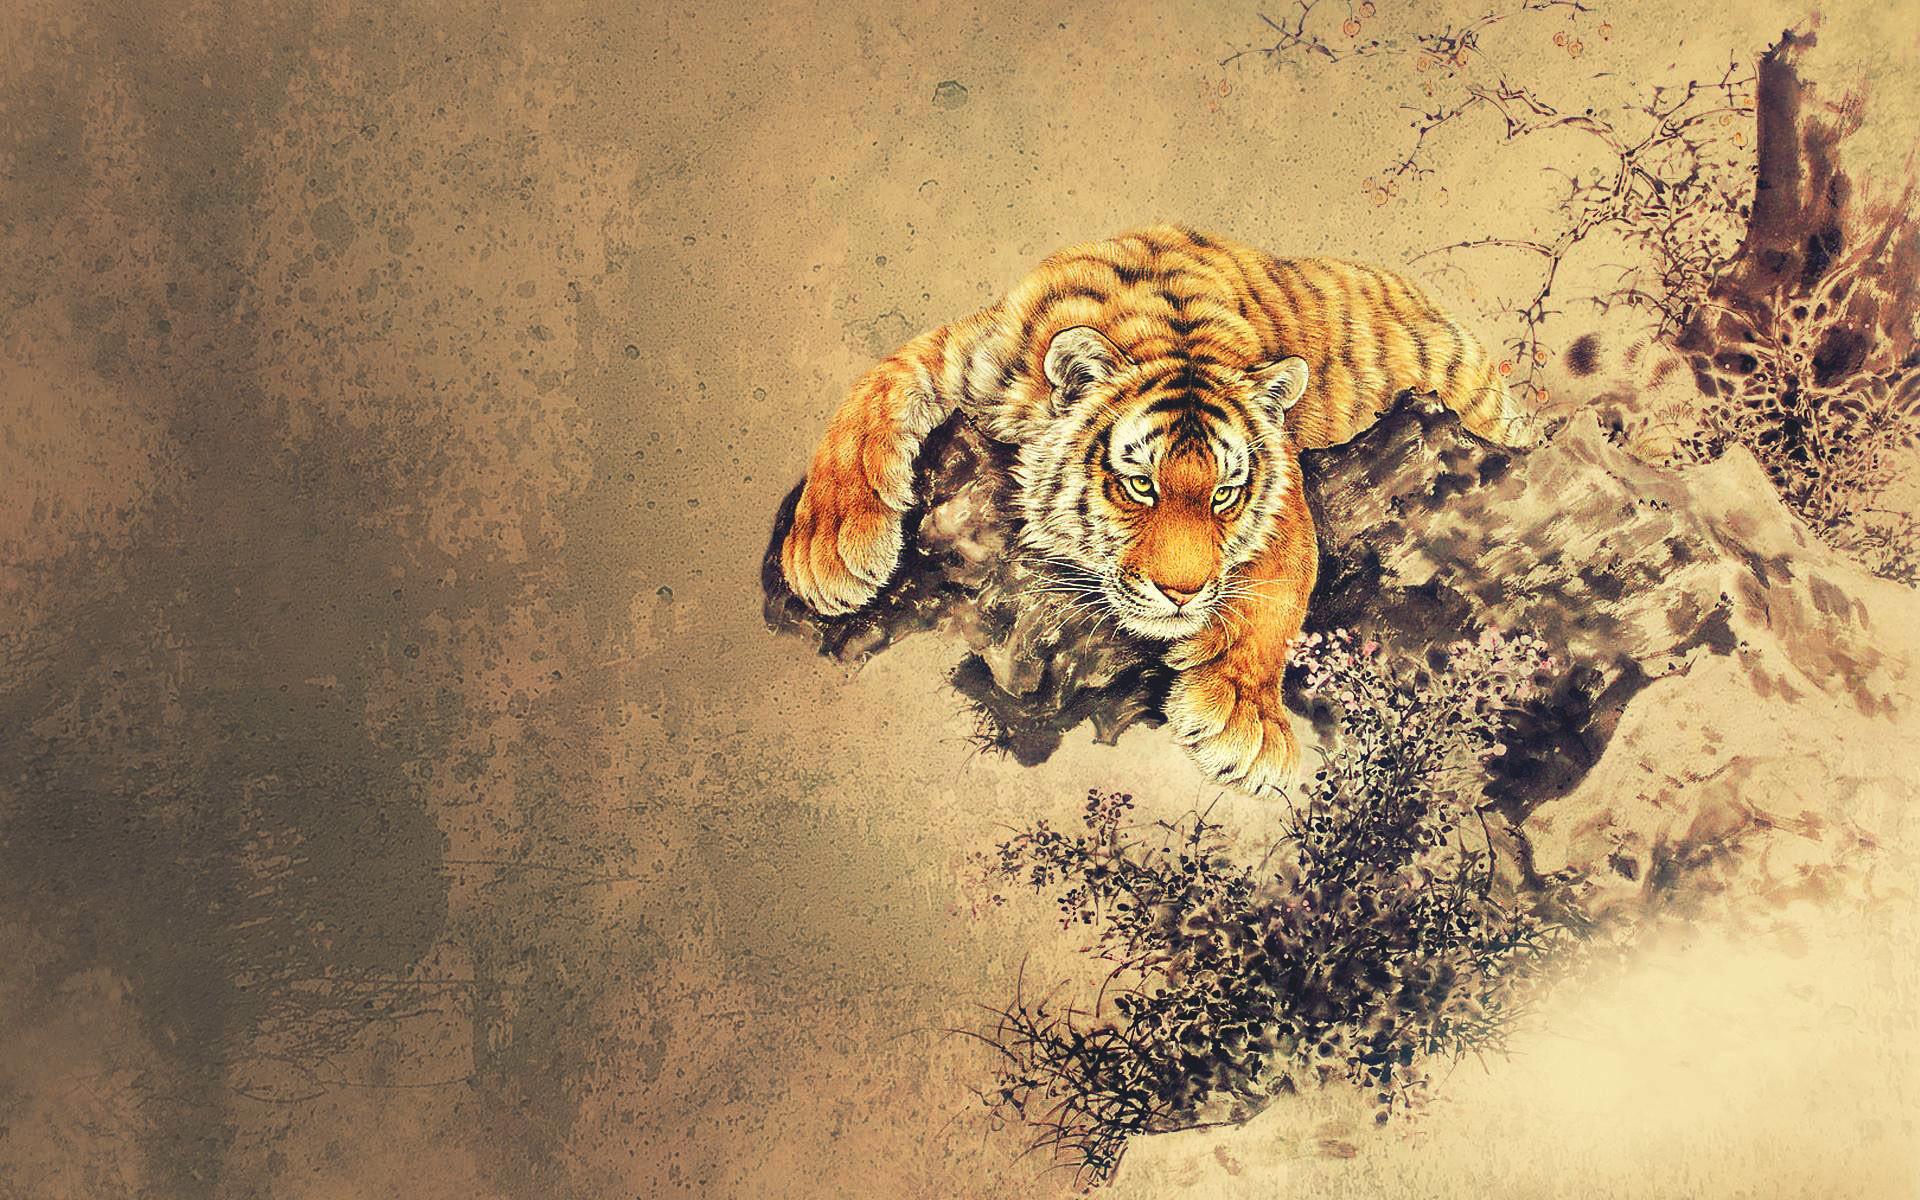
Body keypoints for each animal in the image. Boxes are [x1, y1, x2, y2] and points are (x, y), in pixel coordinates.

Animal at [780, 226, 1531, 795]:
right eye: (1140, 486)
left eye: (1225, 495)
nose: (1182, 592)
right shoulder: (967, 352)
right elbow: (870, 395)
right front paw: (827, 551)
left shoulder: (1283, 477)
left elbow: (1280, 584)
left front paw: (1243, 718)